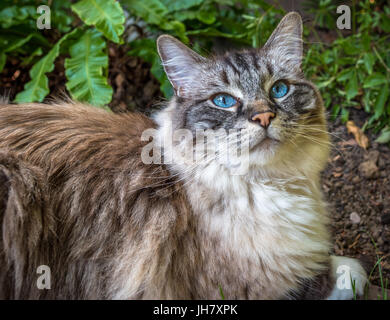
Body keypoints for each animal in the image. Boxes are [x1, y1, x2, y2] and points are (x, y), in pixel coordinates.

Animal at [0, 11, 366, 298]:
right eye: (224, 101)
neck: (266, 184)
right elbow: (332, 275)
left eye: (279, 90)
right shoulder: (249, 285)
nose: (264, 117)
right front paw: (348, 273)